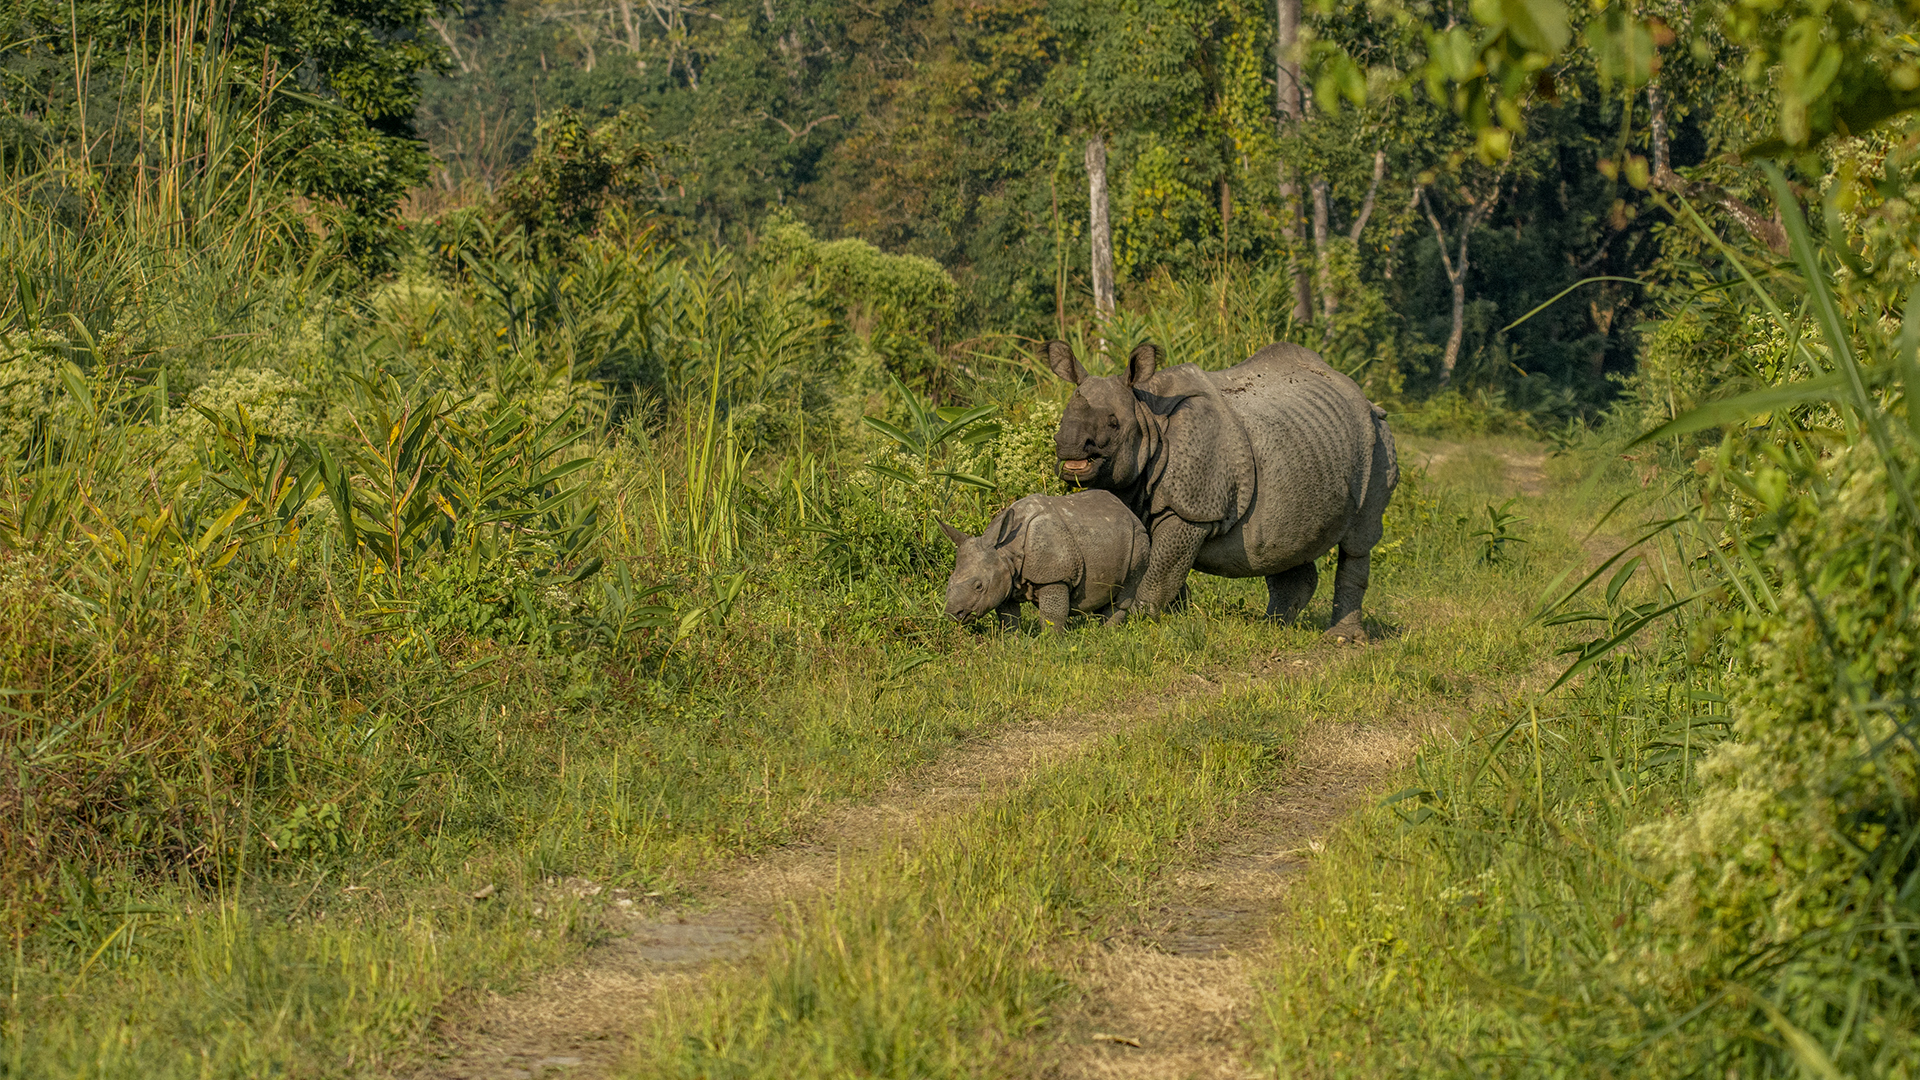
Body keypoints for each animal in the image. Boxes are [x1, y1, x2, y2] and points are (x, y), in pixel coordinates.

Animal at [940, 490, 1144, 630]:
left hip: (1139, 538)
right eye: (949, 582)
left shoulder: (1055, 576)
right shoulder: (1005, 580)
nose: (953, 614)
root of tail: (1128, 510)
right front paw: (1011, 640)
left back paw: (1108, 632)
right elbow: (1008, 615)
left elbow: (1052, 615)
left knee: (1122, 596)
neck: (1005, 551)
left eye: (979, 586)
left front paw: (1050, 643)